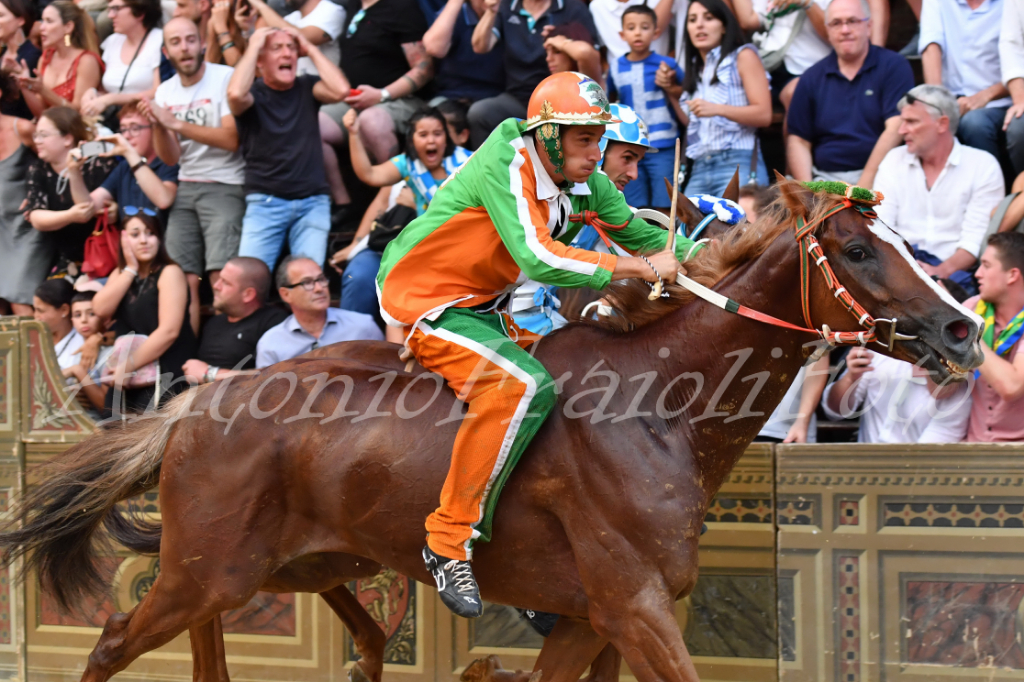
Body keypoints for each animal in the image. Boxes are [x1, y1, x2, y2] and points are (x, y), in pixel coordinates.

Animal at [0, 180, 983, 679]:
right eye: (856, 249)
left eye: (900, 238)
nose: (961, 329)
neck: (661, 405)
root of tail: (198, 405)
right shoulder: (631, 605)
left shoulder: (591, 621)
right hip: (205, 569)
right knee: (113, 642)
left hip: (279, 562)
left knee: (302, 638)